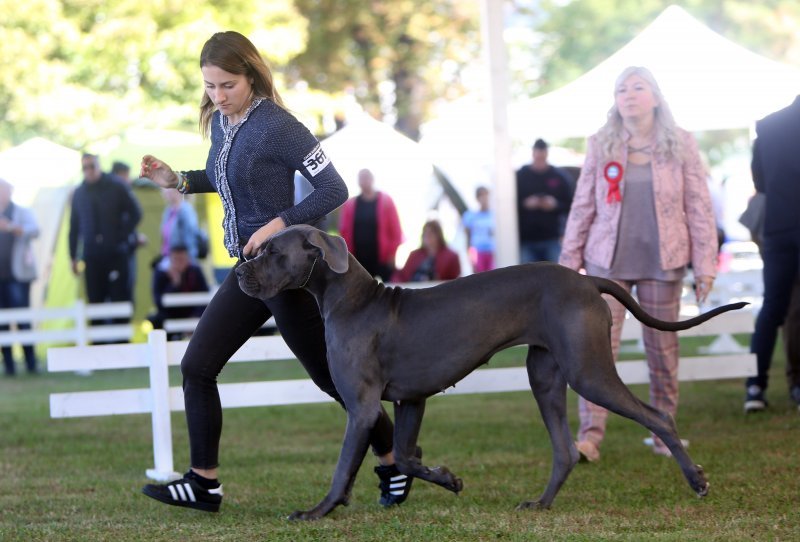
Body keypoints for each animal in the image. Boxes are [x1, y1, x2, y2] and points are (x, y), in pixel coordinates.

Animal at [234, 226, 748, 524]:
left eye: (271, 251)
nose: (239, 274)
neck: (353, 300)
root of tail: (587, 279)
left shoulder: (361, 407)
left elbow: (344, 466)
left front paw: (318, 510)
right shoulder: (410, 399)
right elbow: (406, 457)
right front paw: (448, 479)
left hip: (588, 371)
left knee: (659, 415)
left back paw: (697, 481)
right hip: (544, 375)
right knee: (565, 450)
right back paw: (540, 503)